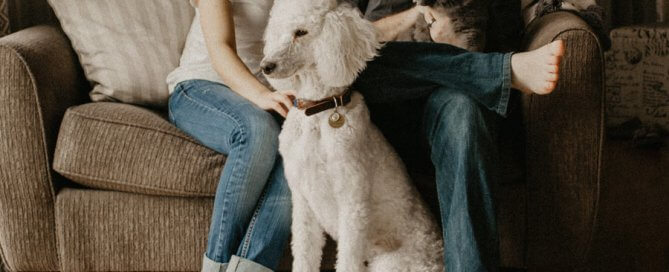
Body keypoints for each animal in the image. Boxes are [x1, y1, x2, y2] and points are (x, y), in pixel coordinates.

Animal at [260, 0, 444, 272]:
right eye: (278, 30)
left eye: (301, 32)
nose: (266, 66)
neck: (318, 113)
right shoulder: (303, 204)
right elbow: (304, 254)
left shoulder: (352, 205)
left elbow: (347, 260)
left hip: (391, 263)